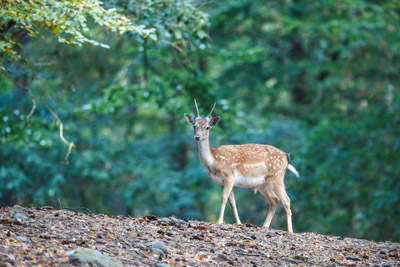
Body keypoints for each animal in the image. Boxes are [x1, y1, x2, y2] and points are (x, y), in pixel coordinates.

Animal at [183, 100, 298, 232]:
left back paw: (289, 230)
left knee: (286, 200)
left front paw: (219, 221)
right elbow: (232, 201)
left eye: (207, 127)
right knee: (274, 200)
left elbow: (223, 198)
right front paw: (238, 222)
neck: (214, 162)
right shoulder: (223, 181)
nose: (197, 137)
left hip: (277, 177)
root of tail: (286, 156)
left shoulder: (229, 175)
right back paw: (265, 226)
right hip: (263, 183)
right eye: (194, 126)